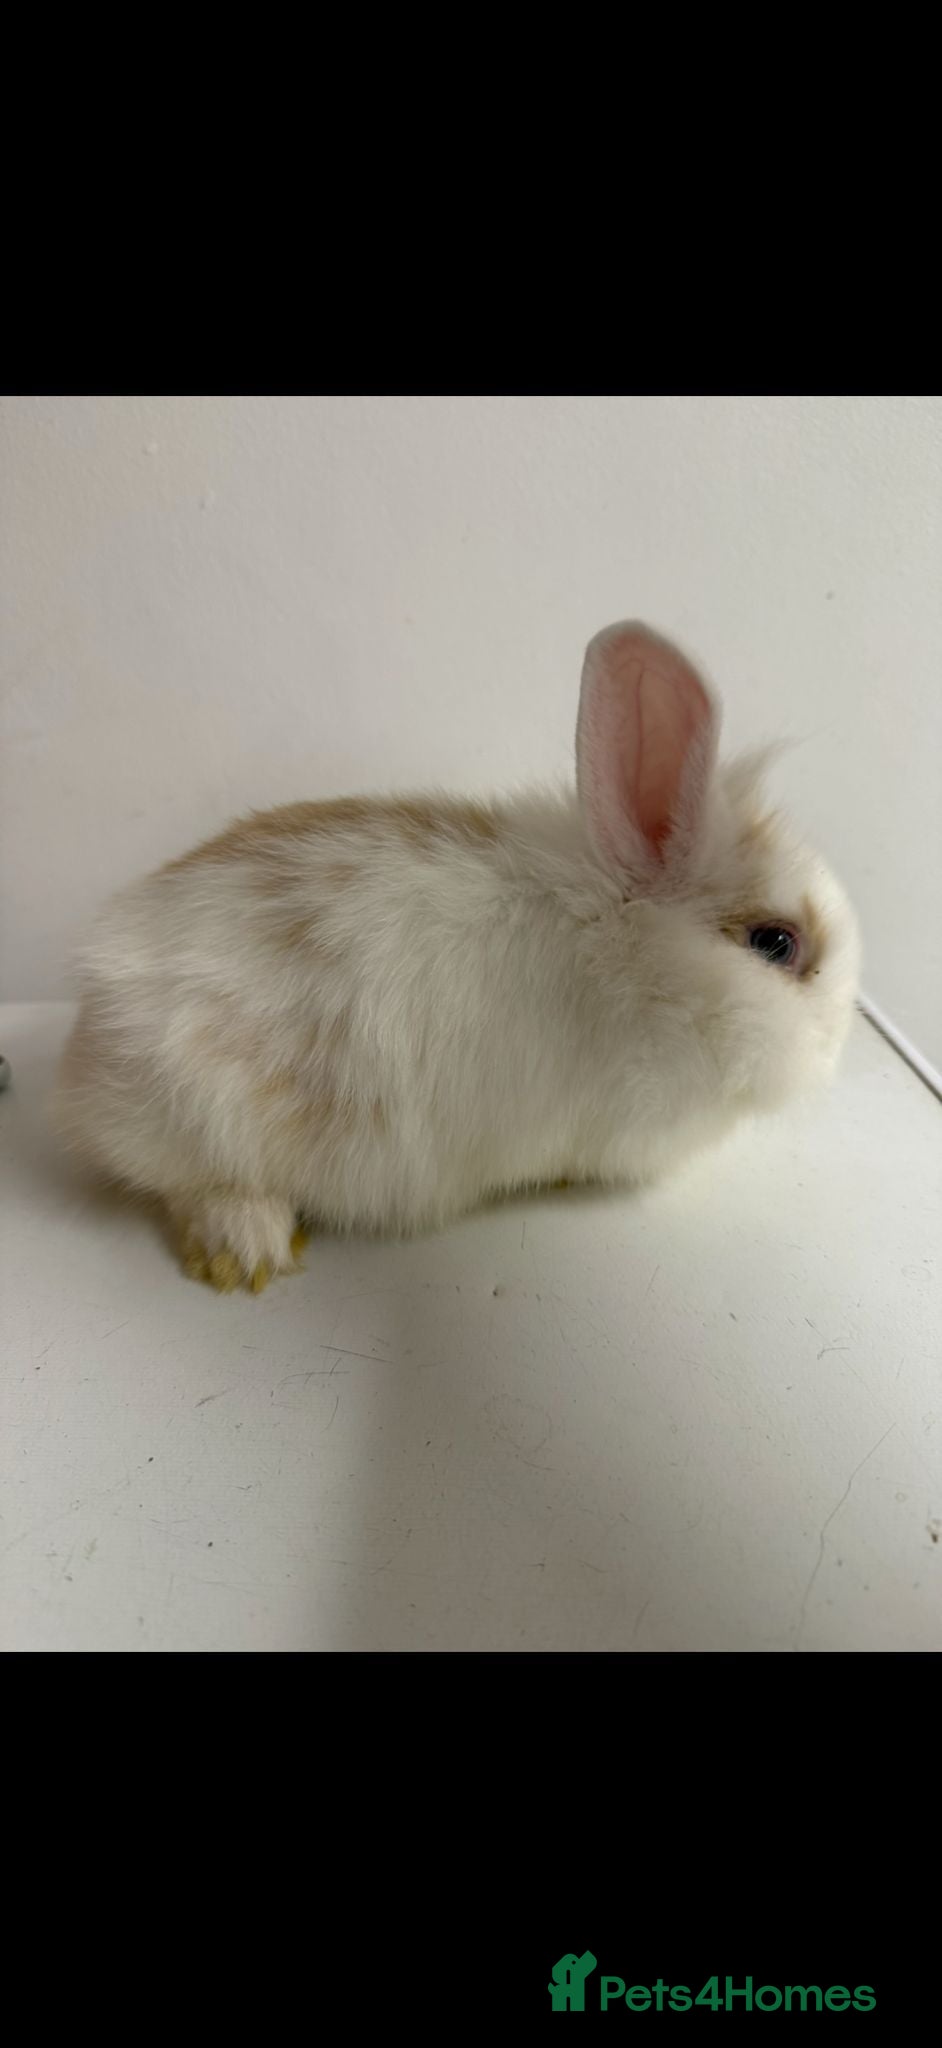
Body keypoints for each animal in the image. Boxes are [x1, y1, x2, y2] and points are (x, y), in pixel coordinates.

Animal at [53, 621, 860, 1292]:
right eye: (776, 943)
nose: (840, 1041)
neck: (631, 960)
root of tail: (85, 1046)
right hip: (193, 1114)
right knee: (190, 1186)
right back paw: (248, 1251)